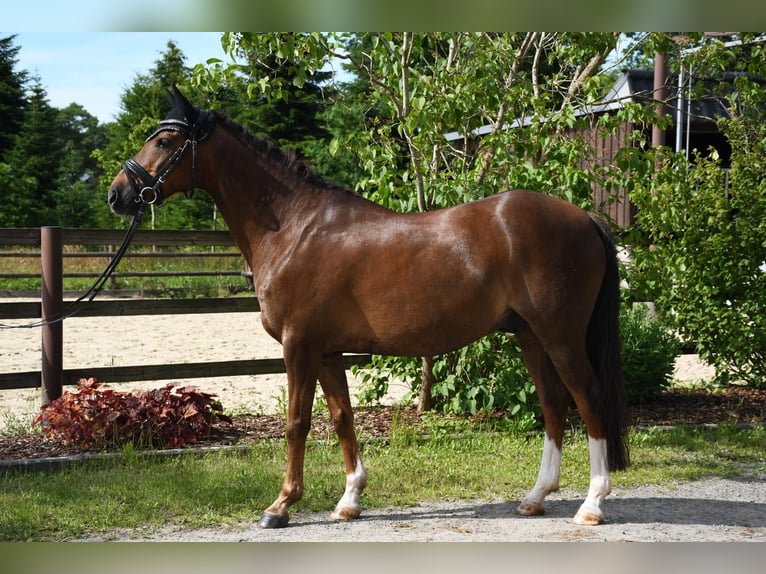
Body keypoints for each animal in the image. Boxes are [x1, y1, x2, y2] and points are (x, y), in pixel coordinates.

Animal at [108, 86, 629, 529]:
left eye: (165, 140)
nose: (118, 194)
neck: (295, 228)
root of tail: (584, 217)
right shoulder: (326, 351)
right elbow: (342, 418)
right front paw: (349, 500)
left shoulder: (298, 346)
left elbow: (297, 423)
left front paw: (280, 505)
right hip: (529, 335)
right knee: (553, 404)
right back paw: (536, 497)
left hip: (560, 336)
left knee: (589, 398)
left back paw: (591, 505)